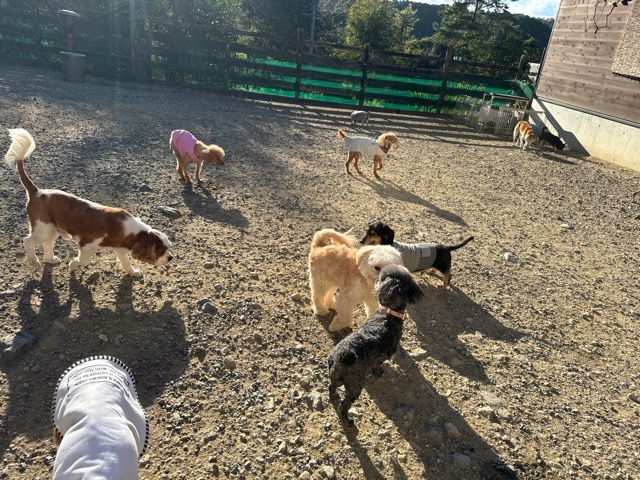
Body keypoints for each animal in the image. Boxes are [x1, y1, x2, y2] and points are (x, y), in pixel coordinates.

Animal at [4, 128, 173, 278]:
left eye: (168, 247)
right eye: (160, 250)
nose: (171, 257)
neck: (133, 231)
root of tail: (36, 191)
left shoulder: (119, 247)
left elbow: (125, 263)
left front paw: (133, 272)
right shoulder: (86, 244)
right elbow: (84, 260)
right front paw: (73, 263)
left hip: (52, 229)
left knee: (47, 245)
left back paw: (50, 259)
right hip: (43, 228)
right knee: (27, 240)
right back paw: (33, 261)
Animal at [328, 264, 423, 424]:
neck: (388, 313)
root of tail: (341, 356)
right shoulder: (383, 355)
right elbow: (377, 365)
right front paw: (378, 372)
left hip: (337, 378)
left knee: (331, 388)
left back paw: (334, 396)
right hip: (355, 384)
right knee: (344, 405)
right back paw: (348, 421)